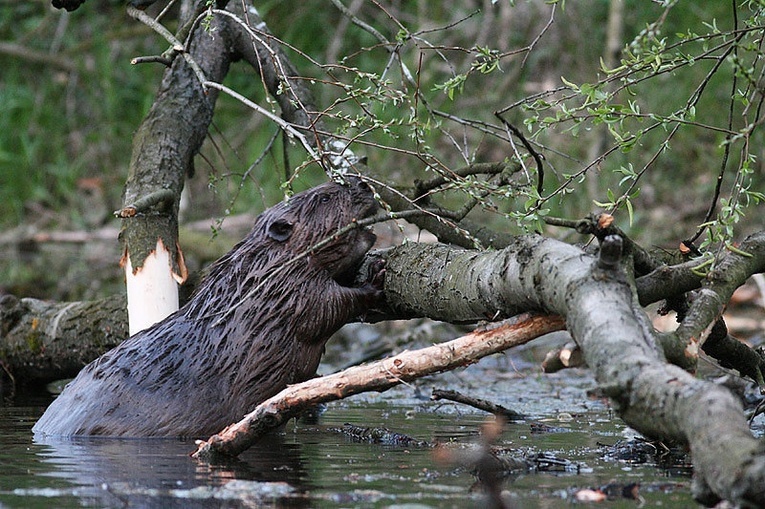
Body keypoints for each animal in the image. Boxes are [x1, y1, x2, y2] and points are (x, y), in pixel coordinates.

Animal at [32, 178, 382, 436]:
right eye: (325, 197)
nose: (365, 185)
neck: (258, 269)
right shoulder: (287, 291)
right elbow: (324, 308)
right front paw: (374, 280)